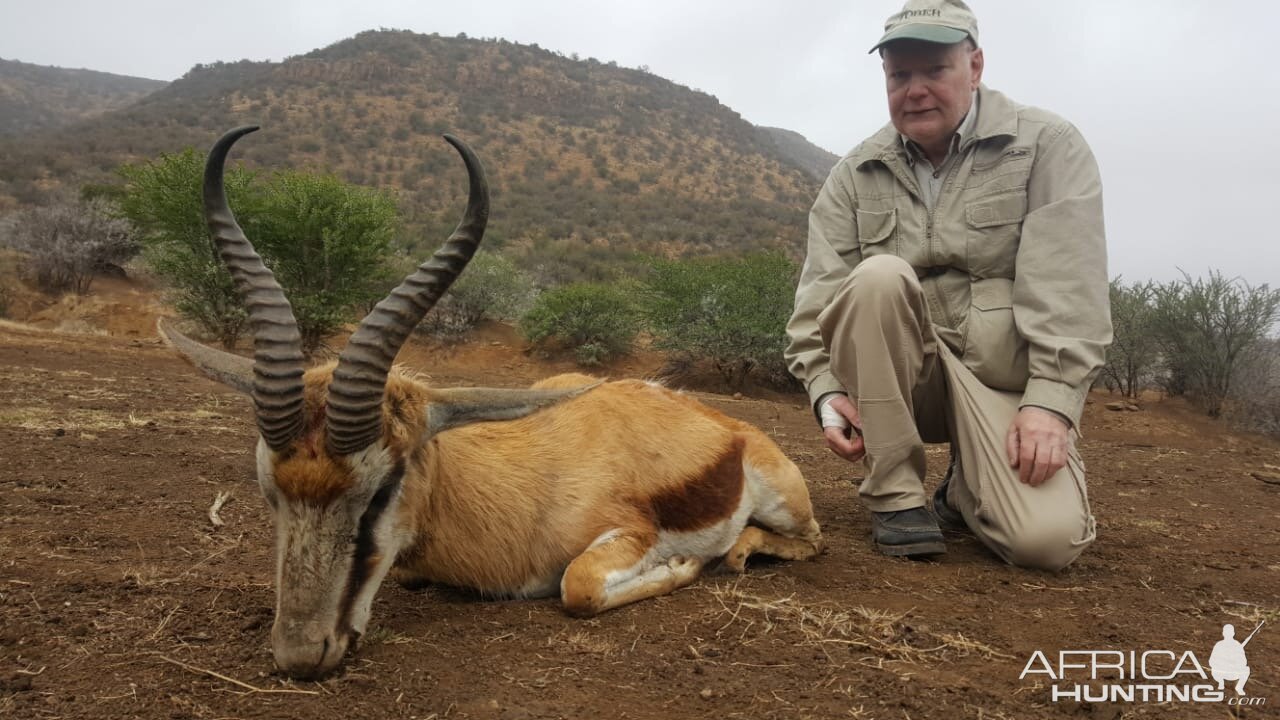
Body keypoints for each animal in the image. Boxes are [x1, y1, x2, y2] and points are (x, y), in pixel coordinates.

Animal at [160, 126, 824, 676]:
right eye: (269, 490)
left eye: (381, 489)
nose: (301, 654)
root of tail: (728, 426)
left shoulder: (620, 537)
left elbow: (578, 589)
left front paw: (683, 567)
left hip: (787, 506)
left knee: (810, 542)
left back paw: (737, 552)